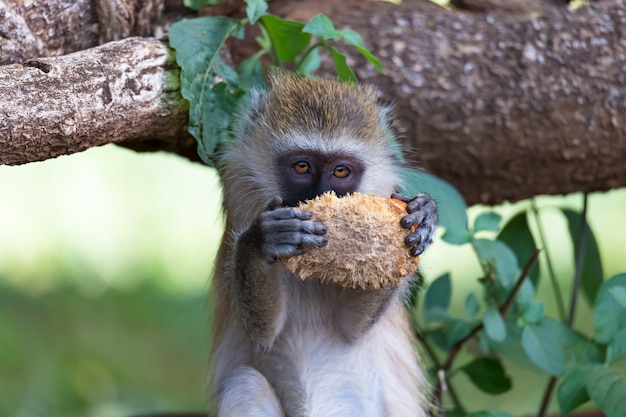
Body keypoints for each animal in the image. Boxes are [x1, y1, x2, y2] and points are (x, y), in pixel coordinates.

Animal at [207, 72, 436, 416]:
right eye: (302, 166)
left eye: (340, 170)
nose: (319, 198)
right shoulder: (240, 195)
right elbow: (261, 335)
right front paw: (263, 240)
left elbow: (352, 329)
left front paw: (422, 217)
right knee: (245, 383)